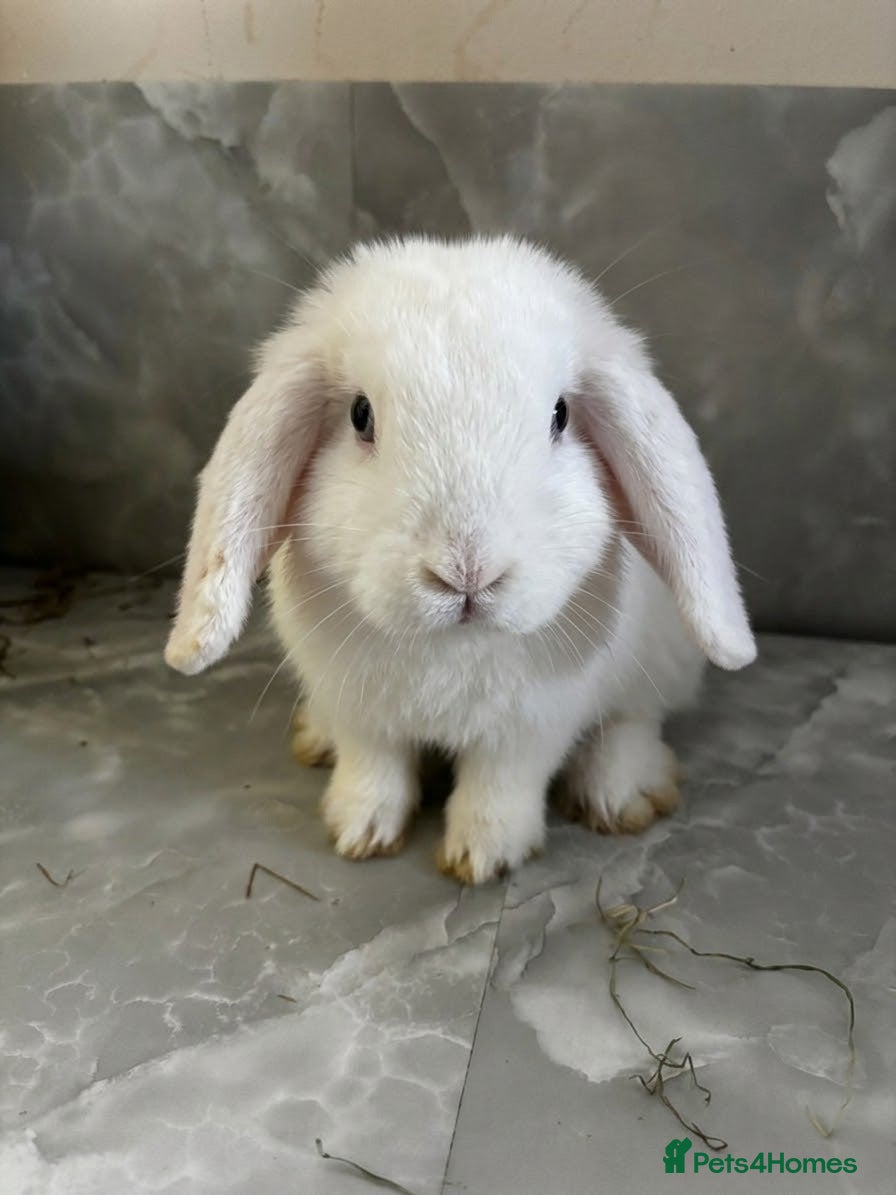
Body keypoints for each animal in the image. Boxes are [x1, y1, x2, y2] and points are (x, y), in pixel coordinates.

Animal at [165, 235, 755, 884]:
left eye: (560, 416)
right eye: (361, 415)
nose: (467, 574)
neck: (452, 646)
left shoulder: (531, 726)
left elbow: (499, 787)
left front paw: (482, 857)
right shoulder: (359, 710)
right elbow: (373, 767)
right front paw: (359, 831)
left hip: (662, 661)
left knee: (634, 719)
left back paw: (621, 793)